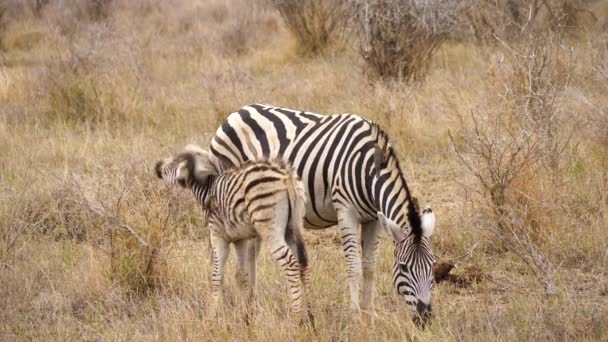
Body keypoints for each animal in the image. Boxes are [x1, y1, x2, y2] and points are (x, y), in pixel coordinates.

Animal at [154, 145, 312, 320]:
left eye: (175, 161)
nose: (157, 166)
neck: (206, 188)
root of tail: (286, 175)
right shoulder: (239, 239)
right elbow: (242, 275)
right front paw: (245, 315)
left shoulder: (218, 235)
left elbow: (217, 275)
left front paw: (213, 315)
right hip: (293, 226)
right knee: (303, 262)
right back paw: (309, 314)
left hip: (270, 228)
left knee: (290, 263)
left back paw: (296, 316)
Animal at [210, 103, 436, 322]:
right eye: (404, 267)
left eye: (432, 265)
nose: (425, 317)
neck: (370, 169)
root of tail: (236, 112)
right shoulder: (346, 211)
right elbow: (354, 266)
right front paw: (355, 315)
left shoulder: (373, 219)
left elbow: (370, 266)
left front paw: (370, 313)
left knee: (251, 254)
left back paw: (253, 307)